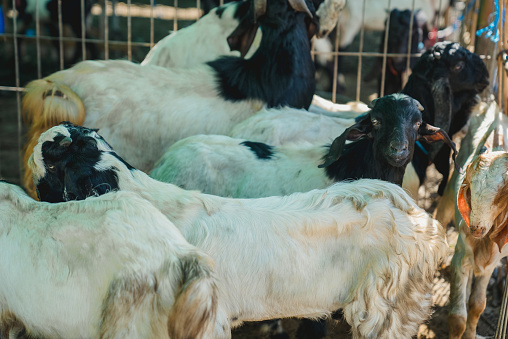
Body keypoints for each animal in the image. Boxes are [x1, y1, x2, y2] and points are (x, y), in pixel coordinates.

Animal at [448, 152, 508, 339]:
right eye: (470, 191)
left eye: (502, 195)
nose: (476, 228)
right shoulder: (460, 258)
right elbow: (457, 319)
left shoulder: (490, 266)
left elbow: (477, 305)